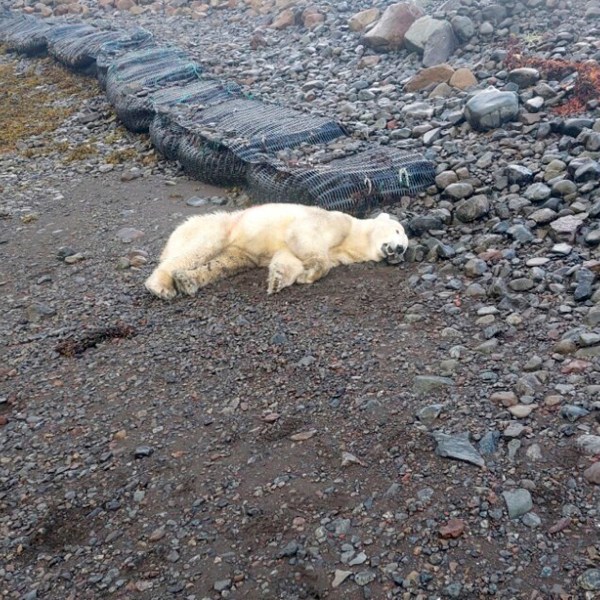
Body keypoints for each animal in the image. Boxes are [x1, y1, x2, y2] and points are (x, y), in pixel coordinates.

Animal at [145, 203, 408, 298]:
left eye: (405, 247)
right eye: (397, 231)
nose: (399, 249)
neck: (354, 237)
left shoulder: (338, 252)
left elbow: (288, 258)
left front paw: (279, 280)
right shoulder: (333, 221)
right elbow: (303, 237)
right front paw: (310, 273)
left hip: (238, 251)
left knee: (223, 264)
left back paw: (187, 281)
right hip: (220, 228)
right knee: (199, 250)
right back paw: (161, 286)